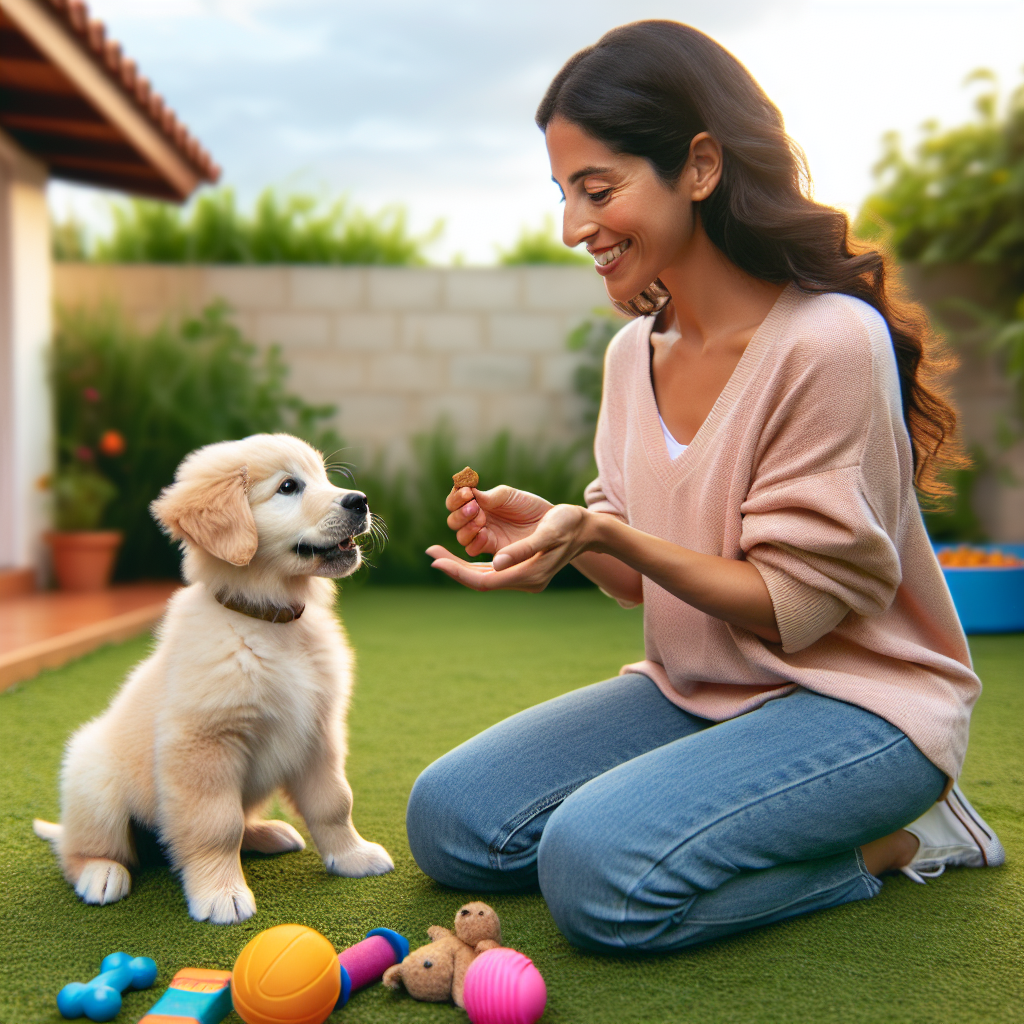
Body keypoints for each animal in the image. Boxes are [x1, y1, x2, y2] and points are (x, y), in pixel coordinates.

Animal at [32, 428, 391, 925]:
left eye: (324, 478)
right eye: (288, 487)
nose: (360, 500)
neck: (268, 622)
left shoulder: (318, 733)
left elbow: (334, 802)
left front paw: (353, 857)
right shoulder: (205, 745)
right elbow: (216, 827)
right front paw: (222, 894)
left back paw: (267, 833)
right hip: (95, 782)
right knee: (84, 849)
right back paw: (100, 874)